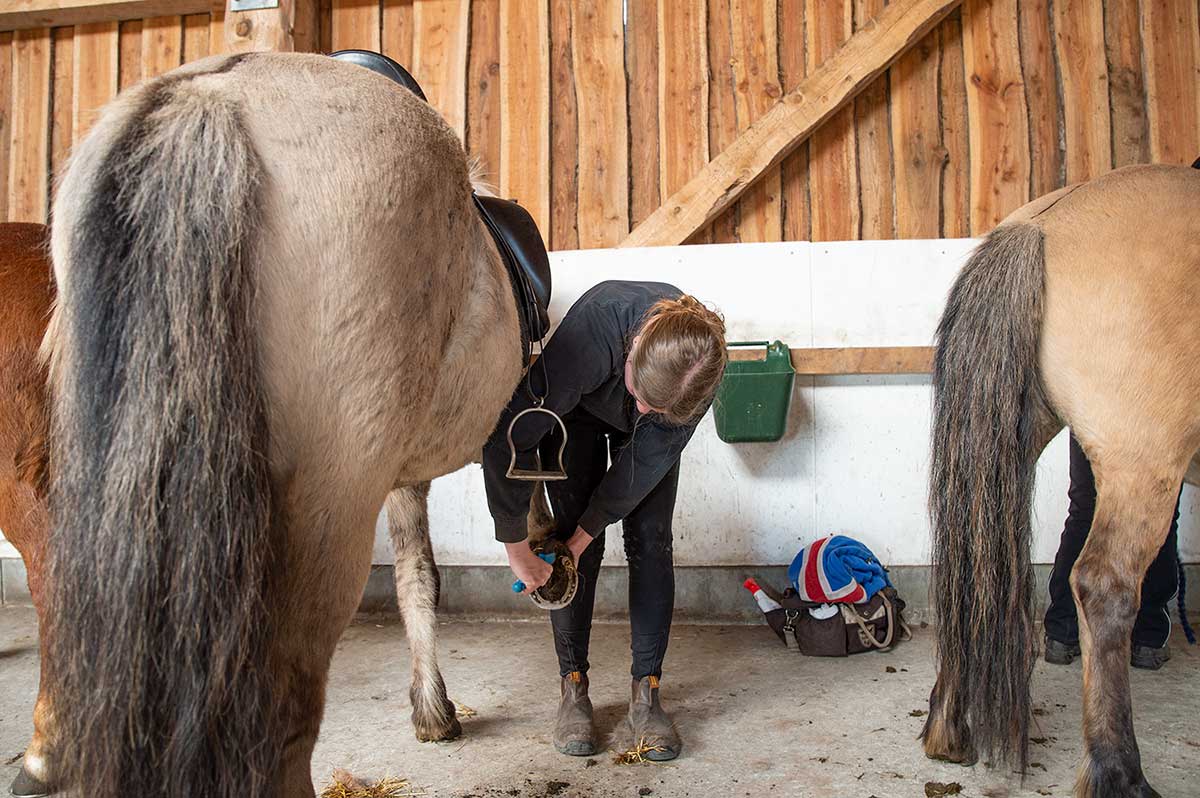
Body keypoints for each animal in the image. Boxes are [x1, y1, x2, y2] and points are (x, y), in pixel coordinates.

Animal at [43, 52, 530, 796]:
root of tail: (210, 98)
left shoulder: (401, 471)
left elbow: (417, 578)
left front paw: (432, 710)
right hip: (328, 512)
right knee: (285, 720)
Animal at [921, 163, 1195, 796]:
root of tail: (1040, 227)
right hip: (1141, 459)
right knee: (1103, 584)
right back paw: (1119, 773)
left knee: (973, 568)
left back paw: (950, 732)